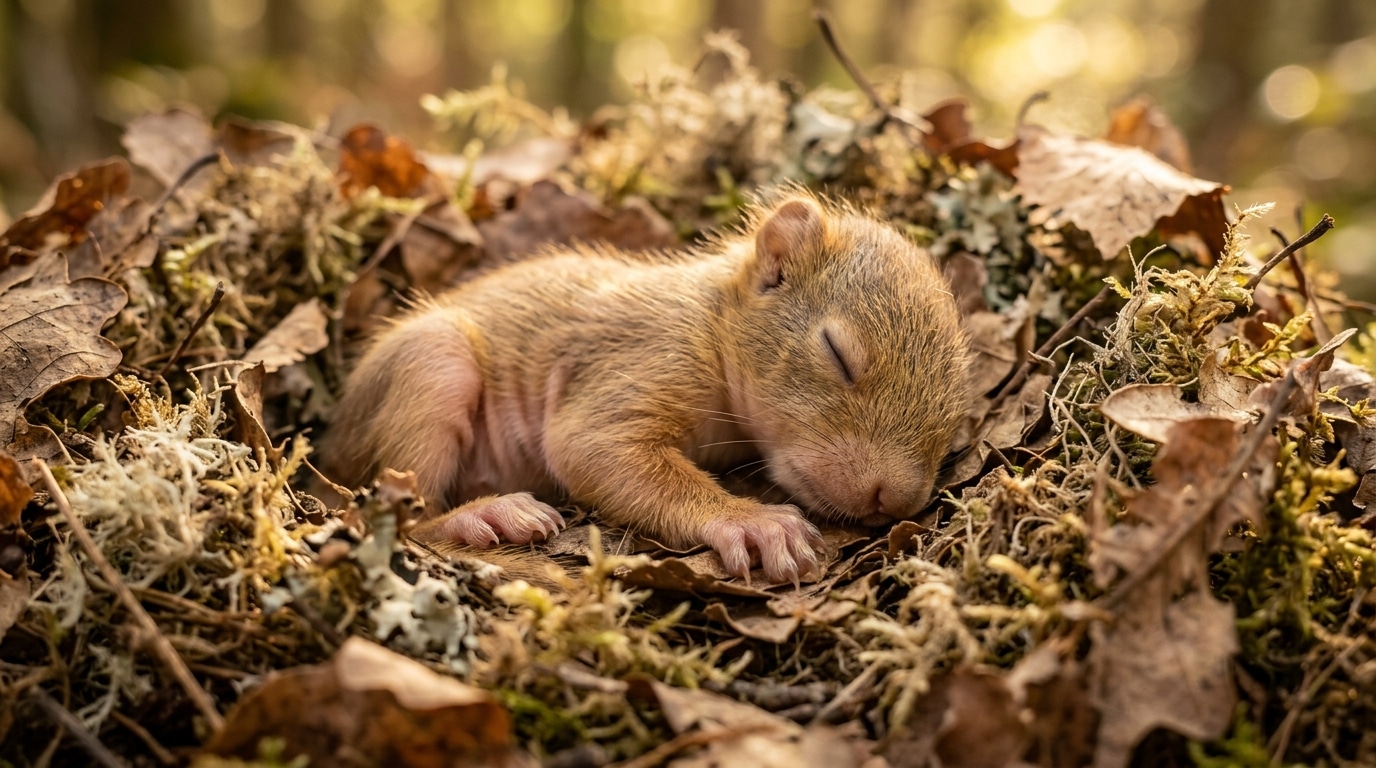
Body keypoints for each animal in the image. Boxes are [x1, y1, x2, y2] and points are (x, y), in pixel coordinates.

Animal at [321, 193, 971, 584]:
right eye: (837, 353)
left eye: (954, 418)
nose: (893, 499)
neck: (713, 323)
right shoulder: (648, 356)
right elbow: (592, 446)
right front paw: (752, 521)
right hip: (433, 365)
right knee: (404, 514)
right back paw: (485, 515)